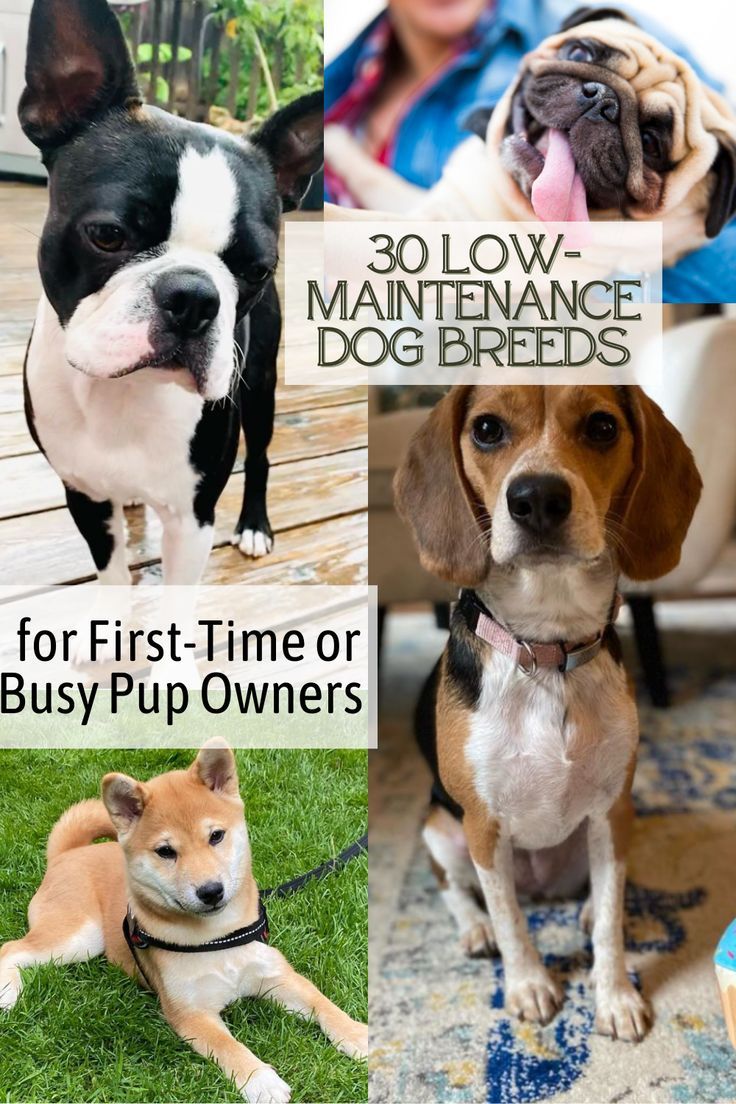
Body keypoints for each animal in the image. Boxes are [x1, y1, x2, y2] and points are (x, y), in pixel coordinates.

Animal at [0, 737, 368, 1099]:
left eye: (216, 836)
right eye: (166, 851)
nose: (211, 891)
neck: (217, 938)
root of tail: (67, 854)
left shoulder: (277, 976)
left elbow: (324, 1004)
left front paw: (358, 1035)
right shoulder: (190, 1013)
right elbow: (229, 1047)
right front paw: (261, 1081)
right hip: (79, 938)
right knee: (12, 948)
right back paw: (7, 992)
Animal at [397, 388, 701, 1042]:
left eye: (603, 427)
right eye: (486, 429)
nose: (536, 497)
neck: (547, 650)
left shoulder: (612, 809)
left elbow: (610, 918)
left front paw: (614, 996)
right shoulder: (483, 828)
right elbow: (511, 920)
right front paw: (531, 985)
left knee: (598, 892)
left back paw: (582, 910)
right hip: (440, 828)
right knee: (457, 891)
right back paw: (475, 928)